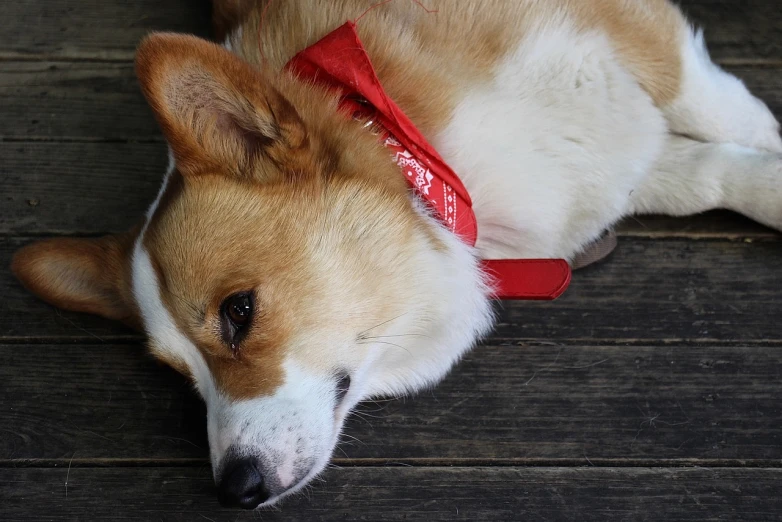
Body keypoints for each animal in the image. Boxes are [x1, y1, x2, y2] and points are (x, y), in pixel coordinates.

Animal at [10, 0, 782, 508]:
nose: (236, 490)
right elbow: (713, 171)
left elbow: (733, 119)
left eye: (239, 311)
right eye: (178, 377)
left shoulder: (647, 40)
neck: (431, 163)